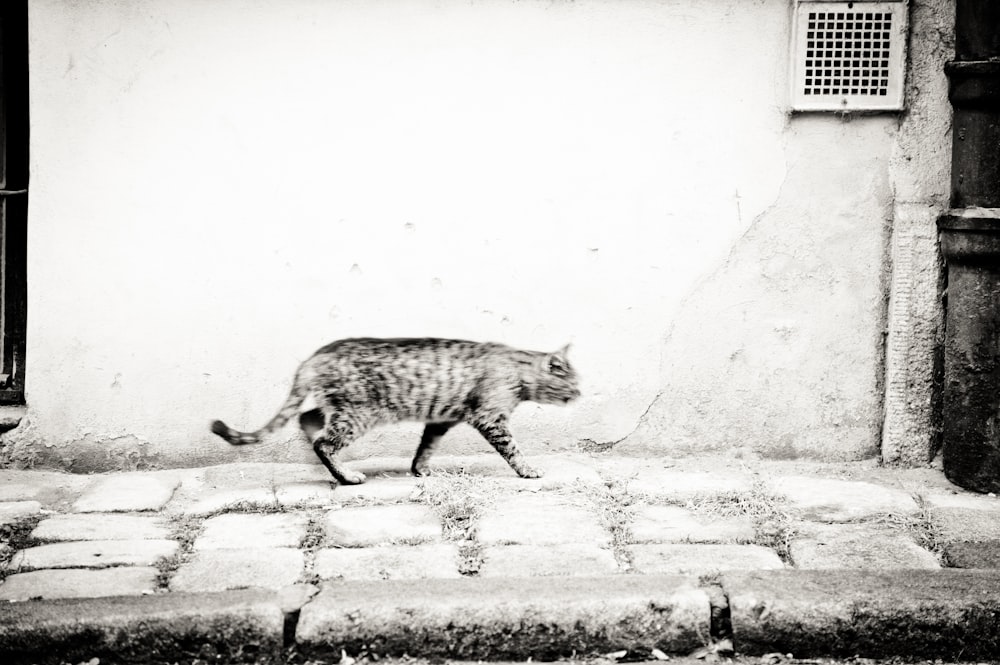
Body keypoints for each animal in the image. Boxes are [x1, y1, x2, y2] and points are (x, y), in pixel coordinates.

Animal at [215, 338, 584, 482]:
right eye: (573, 383)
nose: (580, 394)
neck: (518, 370)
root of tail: (315, 356)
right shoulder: (490, 418)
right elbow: (513, 449)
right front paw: (528, 470)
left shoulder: (441, 419)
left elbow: (425, 447)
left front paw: (420, 470)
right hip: (358, 414)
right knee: (324, 442)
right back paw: (346, 476)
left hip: (339, 407)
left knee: (308, 420)